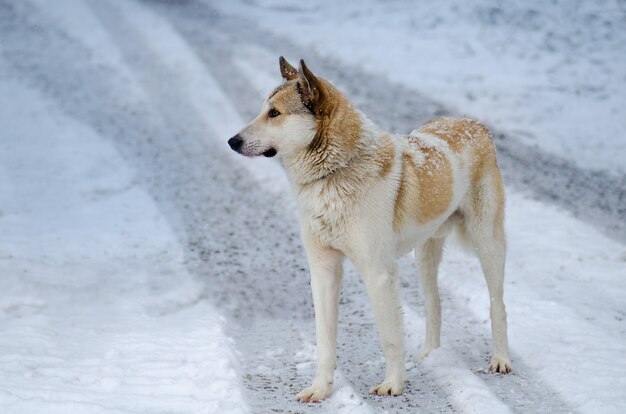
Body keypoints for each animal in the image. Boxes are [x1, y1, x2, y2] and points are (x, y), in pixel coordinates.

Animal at [227, 57, 510, 402]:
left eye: (275, 113)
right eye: (263, 111)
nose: (232, 141)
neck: (336, 172)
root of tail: (474, 124)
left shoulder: (379, 273)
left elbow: (390, 337)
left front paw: (393, 385)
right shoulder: (323, 269)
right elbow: (325, 341)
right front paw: (320, 389)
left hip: (488, 244)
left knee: (498, 304)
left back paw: (500, 359)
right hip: (425, 255)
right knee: (434, 304)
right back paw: (430, 356)